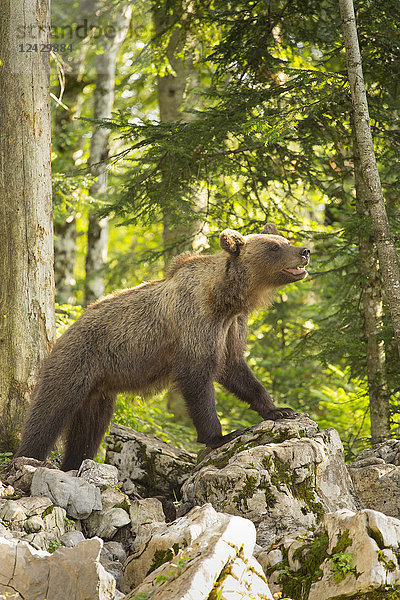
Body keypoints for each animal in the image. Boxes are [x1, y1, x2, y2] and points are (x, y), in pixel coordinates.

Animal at [14, 223, 310, 472]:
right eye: (274, 247)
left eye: (285, 240)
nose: (305, 251)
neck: (225, 299)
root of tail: (66, 330)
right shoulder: (196, 322)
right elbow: (197, 377)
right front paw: (220, 435)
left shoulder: (231, 327)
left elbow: (236, 368)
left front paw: (279, 409)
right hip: (77, 360)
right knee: (50, 411)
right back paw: (28, 456)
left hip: (99, 391)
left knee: (88, 430)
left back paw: (74, 463)